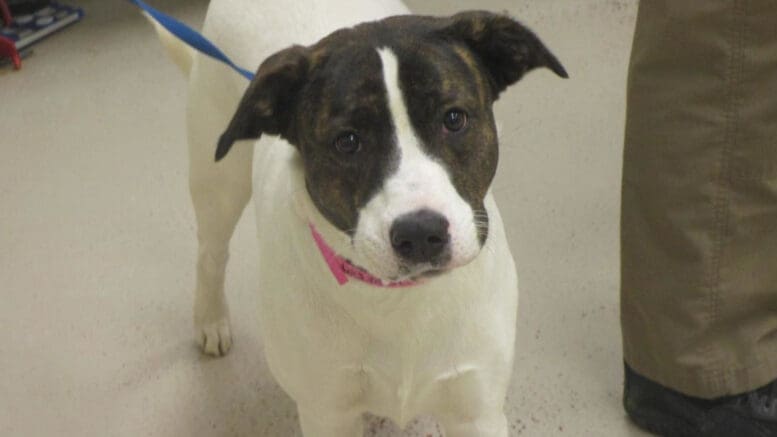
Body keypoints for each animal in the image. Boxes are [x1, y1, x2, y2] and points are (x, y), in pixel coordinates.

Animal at [149, 1, 568, 434]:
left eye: (454, 118)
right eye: (347, 141)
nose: (421, 233)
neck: (396, 299)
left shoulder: (476, 411)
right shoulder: (326, 413)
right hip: (218, 181)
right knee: (211, 254)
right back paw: (210, 321)